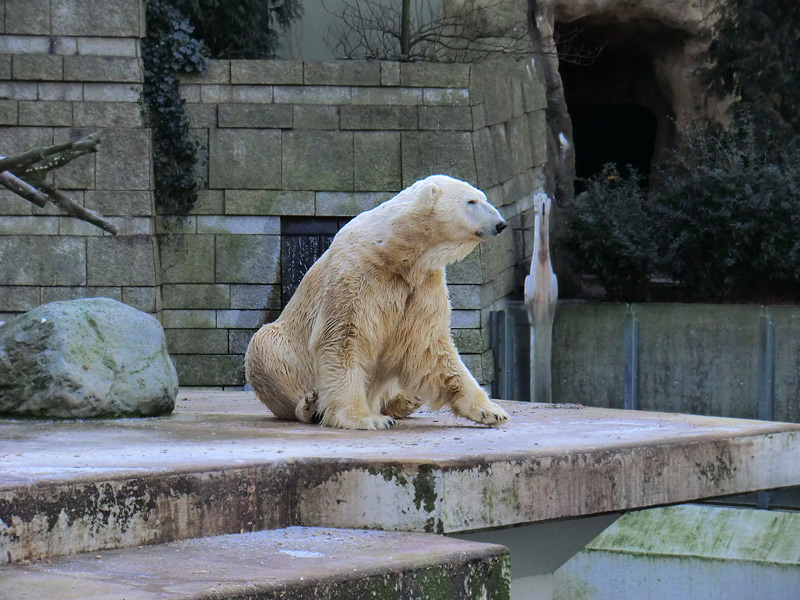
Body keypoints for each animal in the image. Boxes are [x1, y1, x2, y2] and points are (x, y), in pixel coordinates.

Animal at [244, 176, 510, 428]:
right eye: (471, 201)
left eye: (483, 197)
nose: (501, 224)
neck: (396, 250)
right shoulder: (357, 275)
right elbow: (343, 338)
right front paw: (364, 418)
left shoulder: (422, 283)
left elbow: (428, 344)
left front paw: (492, 411)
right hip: (282, 347)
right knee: (265, 347)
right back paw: (308, 405)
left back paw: (406, 400)